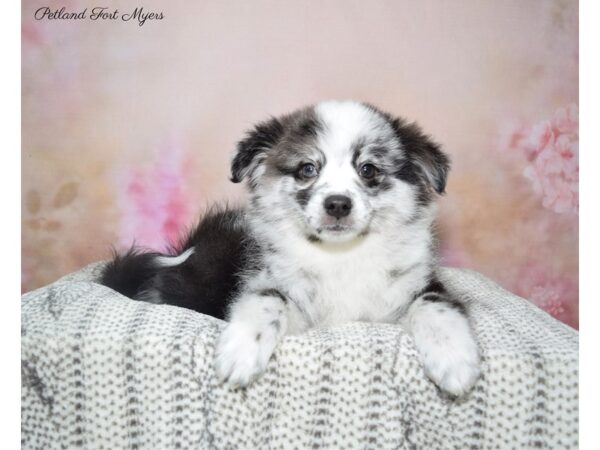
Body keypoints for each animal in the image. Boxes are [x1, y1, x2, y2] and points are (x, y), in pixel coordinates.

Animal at [101, 100, 480, 396]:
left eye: (369, 169)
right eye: (307, 169)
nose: (337, 204)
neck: (341, 256)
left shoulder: (413, 287)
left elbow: (437, 305)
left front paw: (454, 360)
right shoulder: (281, 290)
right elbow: (270, 300)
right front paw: (241, 350)